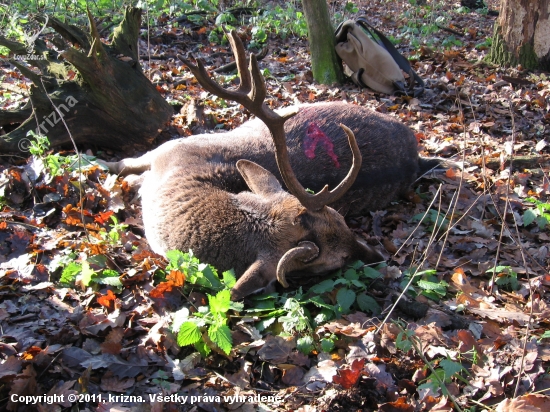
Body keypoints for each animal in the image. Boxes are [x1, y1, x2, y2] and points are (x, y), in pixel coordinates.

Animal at [103, 29, 440, 300]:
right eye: (338, 261)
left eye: (344, 221)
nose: (380, 256)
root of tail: (415, 155)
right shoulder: (166, 149)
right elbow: (121, 163)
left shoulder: (168, 150)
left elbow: (124, 165)